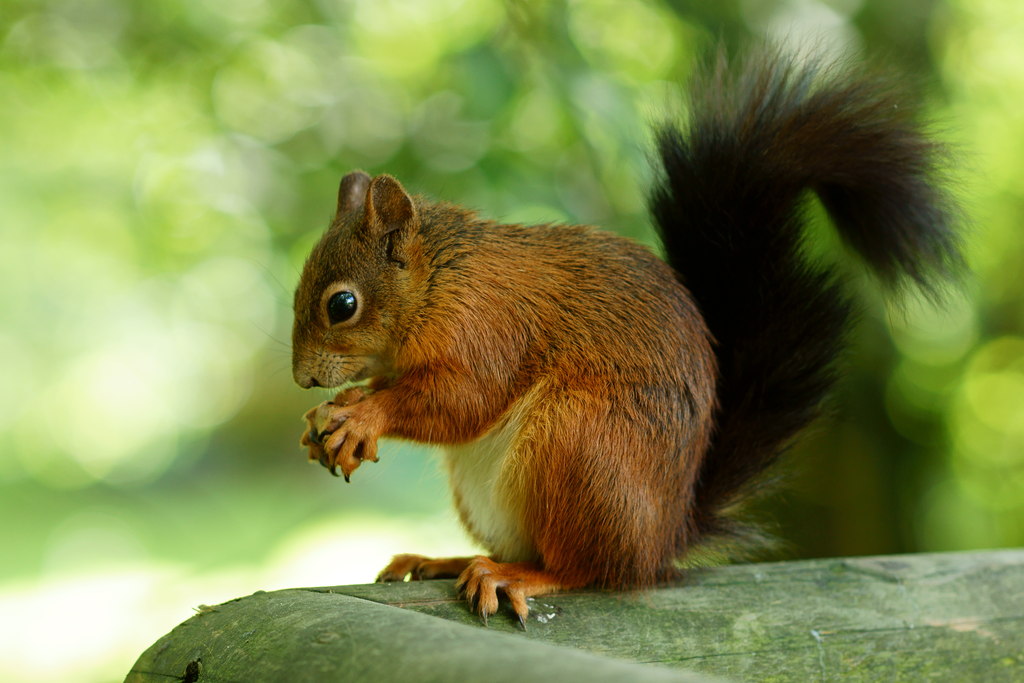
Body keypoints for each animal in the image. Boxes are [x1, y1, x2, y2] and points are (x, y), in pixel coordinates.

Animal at [292, 48, 962, 626]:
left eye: (342, 305)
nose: (302, 378)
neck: (440, 278)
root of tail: (661, 541)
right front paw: (333, 411)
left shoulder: (486, 328)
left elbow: (463, 400)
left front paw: (364, 415)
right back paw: (443, 560)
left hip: (581, 447)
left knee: (584, 570)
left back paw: (512, 575)